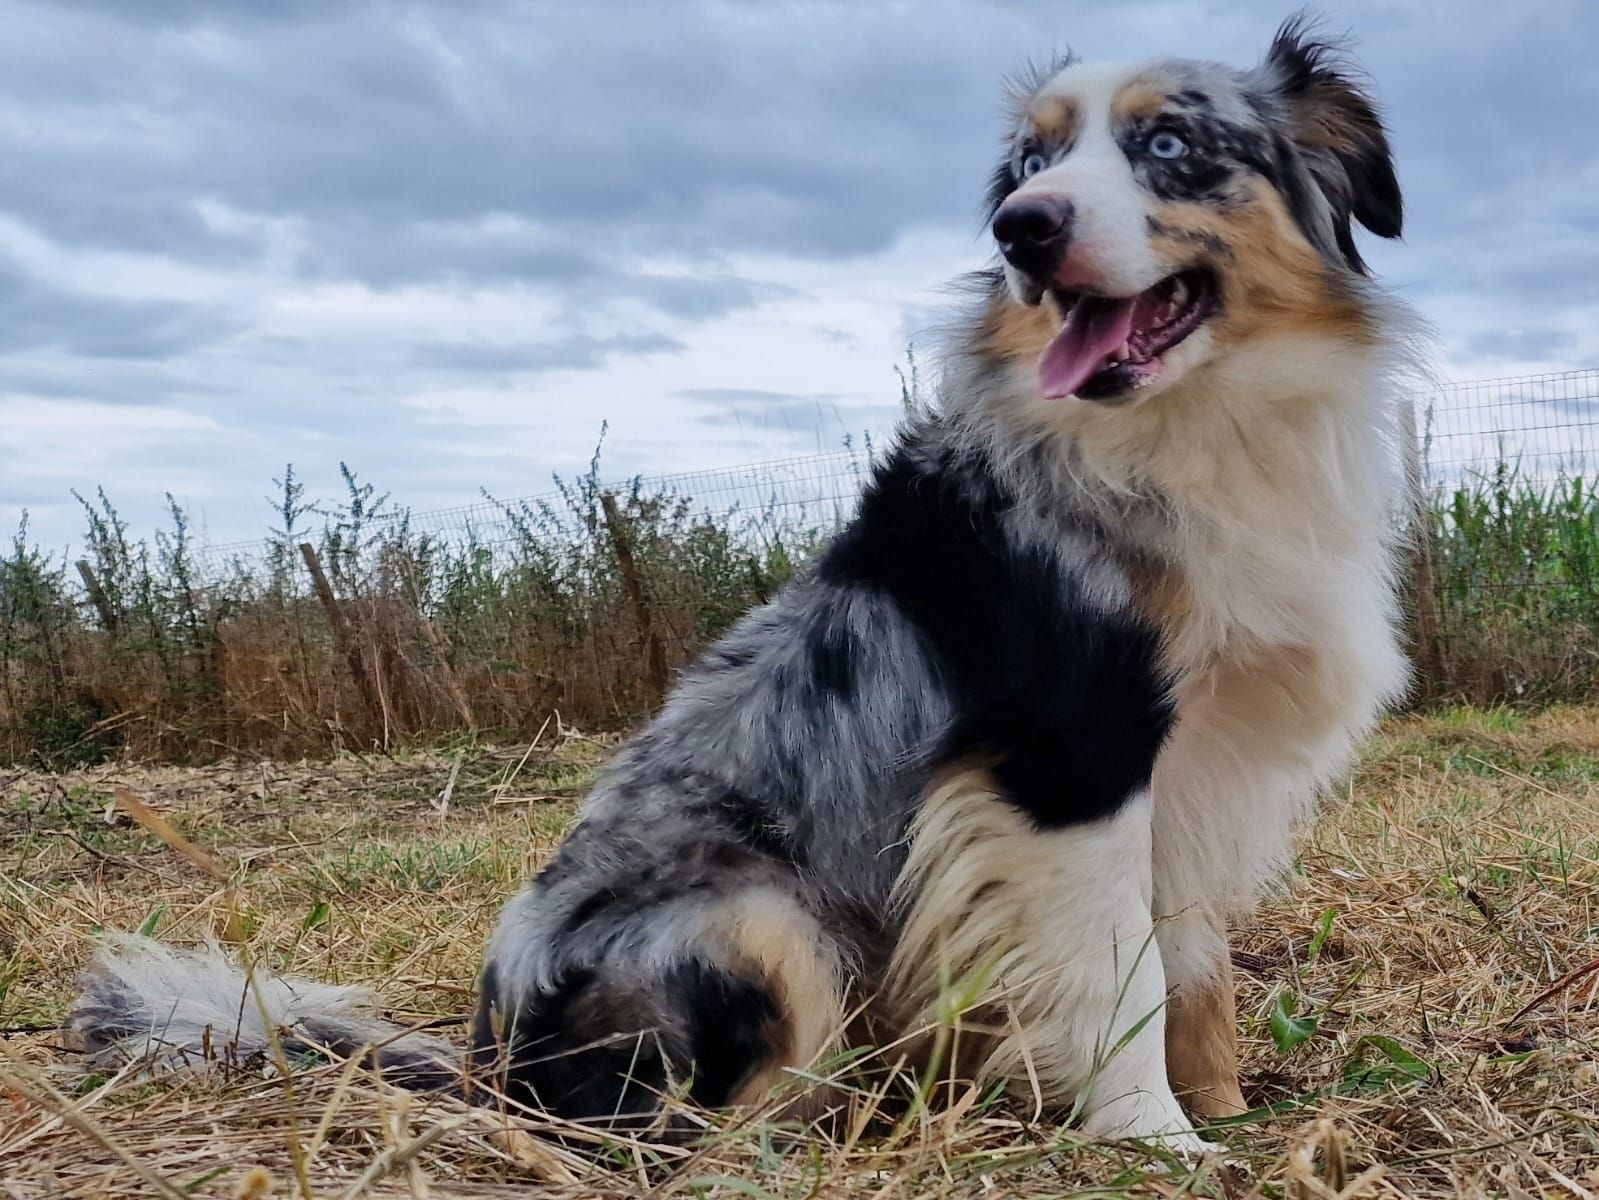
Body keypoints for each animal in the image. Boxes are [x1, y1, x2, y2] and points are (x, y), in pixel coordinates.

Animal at [72, 17, 1416, 1153]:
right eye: (1030, 164)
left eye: (1169, 144)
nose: (1021, 231)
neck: (1194, 426)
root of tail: (486, 1064)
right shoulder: (1070, 757)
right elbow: (1115, 972)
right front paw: (1155, 1140)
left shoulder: (1200, 772)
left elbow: (1194, 966)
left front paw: (1230, 1109)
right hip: (761, 917)